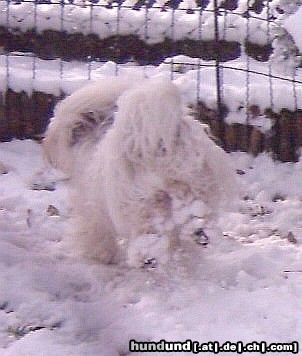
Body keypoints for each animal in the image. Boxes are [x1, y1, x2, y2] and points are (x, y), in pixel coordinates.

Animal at [43, 76, 236, 264]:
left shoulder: (91, 208)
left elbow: (97, 233)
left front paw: (102, 255)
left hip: (141, 204)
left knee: (150, 237)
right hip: (194, 186)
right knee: (193, 215)